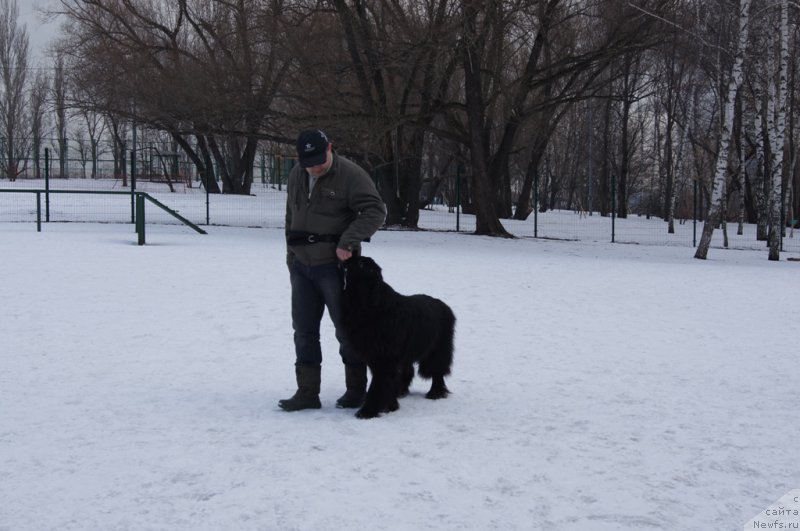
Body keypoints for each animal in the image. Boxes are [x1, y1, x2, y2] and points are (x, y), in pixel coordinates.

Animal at [340, 258, 456, 420]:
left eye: (361, 264)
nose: (347, 259)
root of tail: (445, 306)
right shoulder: (376, 356)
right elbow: (386, 382)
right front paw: (390, 405)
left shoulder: (384, 358)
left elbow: (379, 385)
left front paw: (368, 411)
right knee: (408, 371)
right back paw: (402, 390)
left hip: (438, 349)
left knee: (437, 370)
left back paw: (435, 392)